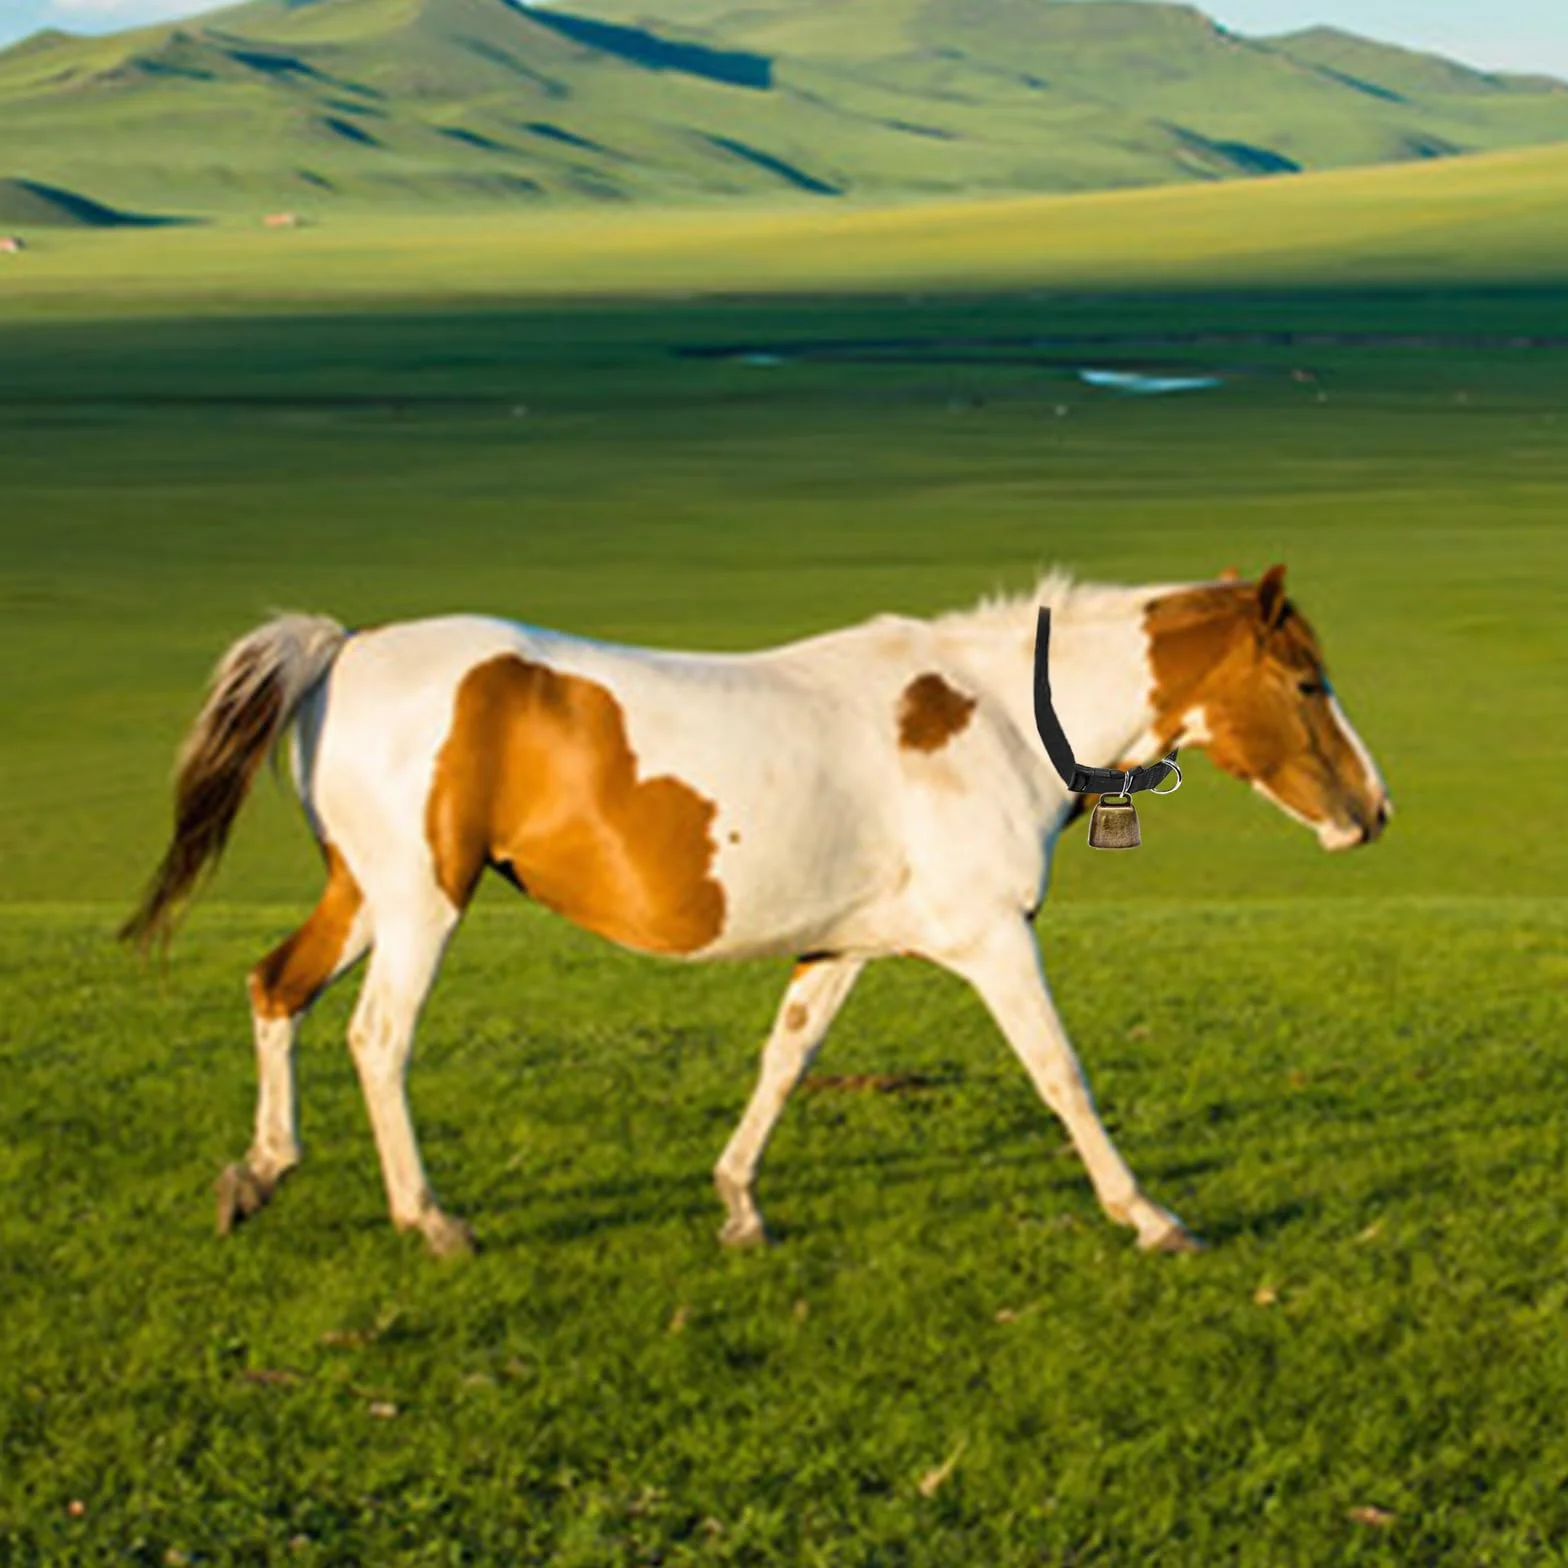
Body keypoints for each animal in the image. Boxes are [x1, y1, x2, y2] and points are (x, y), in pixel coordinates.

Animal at [122, 565, 1389, 1257]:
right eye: (1305, 681)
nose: (1371, 811)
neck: (992, 716)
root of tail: (343, 651)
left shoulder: (842, 946)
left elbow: (783, 1063)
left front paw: (738, 1203)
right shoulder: (991, 938)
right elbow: (1058, 1074)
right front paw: (1150, 1215)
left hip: (365, 891)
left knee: (276, 988)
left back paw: (258, 1171)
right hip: (420, 901)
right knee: (376, 1038)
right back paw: (428, 1217)